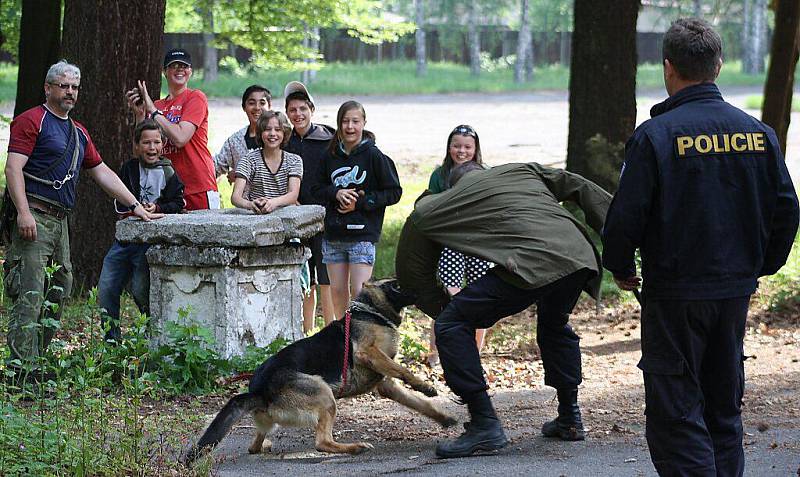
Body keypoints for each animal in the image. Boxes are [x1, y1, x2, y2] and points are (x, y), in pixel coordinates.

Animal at [183, 278, 456, 462]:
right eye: (396, 286)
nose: (438, 285)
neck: (370, 312)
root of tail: (259, 392)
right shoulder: (367, 353)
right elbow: (404, 371)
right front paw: (426, 385)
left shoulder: (386, 383)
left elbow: (419, 403)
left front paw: (442, 417)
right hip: (325, 395)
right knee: (322, 443)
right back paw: (354, 447)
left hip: (277, 418)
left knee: (254, 445)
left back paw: (265, 445)